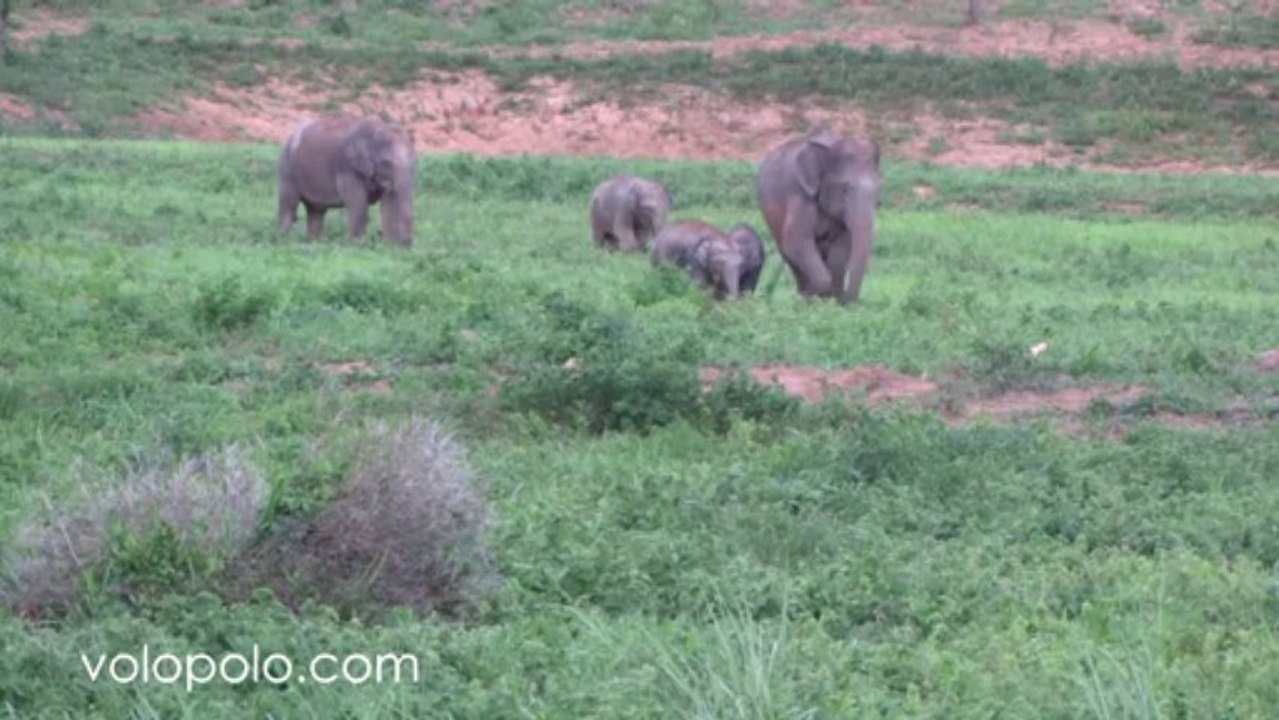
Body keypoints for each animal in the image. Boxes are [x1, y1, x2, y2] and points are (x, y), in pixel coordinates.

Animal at [277, 113, 417, 247]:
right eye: (386, 163)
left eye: (413, 162)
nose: (407, 245)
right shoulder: (348, 168)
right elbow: (359, 204)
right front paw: (357, 245)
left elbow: (388, 202)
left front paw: (391, 247)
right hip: (288, 169)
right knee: (289, 206)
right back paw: (282, 240)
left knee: (316, 212)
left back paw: (313, 243)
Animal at [756, 128, 880, 302]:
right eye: (844, 188)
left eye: (878, 189)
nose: (849, 299)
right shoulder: (799, 196)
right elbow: (796, 241)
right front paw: (817, 296)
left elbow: (841, 246)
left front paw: (832, 300)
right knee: (790, 256)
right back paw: (803, 295)